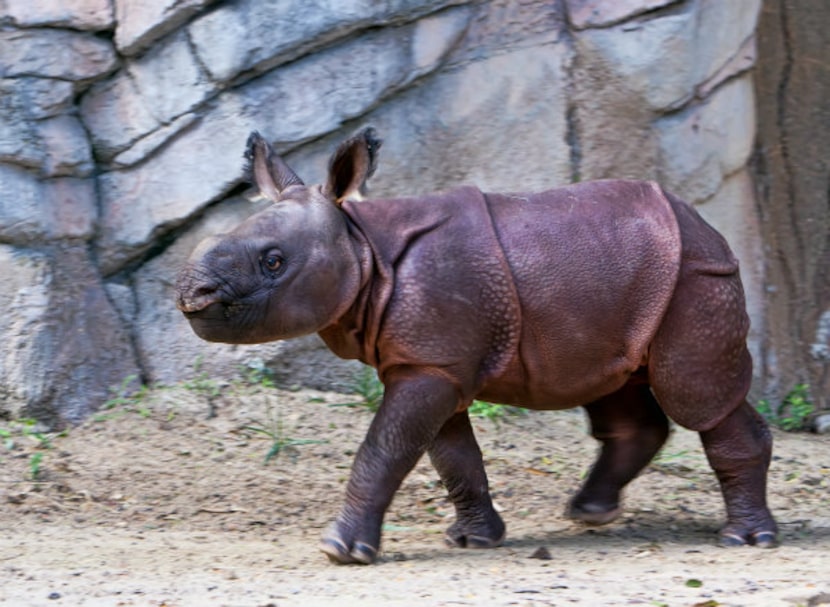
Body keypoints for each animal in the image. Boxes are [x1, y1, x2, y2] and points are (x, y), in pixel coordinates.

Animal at [177, 128, 780, 564]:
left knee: (697, 396)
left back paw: (745, 541)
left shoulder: (431, 363)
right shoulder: (432, 361)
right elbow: (450, 456)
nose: (190, 293)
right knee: (611, 380)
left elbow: (385, 449)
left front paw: (341, 552)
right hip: (625, 279)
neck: (360, 241)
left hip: (694, 275)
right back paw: (590, 513)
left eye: (274, 261)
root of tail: (704, 224)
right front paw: (474, 540)